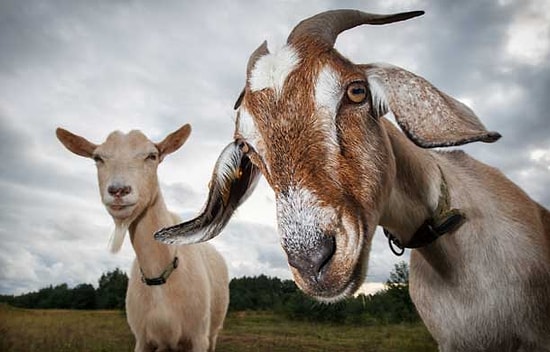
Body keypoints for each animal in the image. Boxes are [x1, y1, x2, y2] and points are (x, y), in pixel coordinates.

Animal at [56, 126, 229, 352]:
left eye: (152, 156)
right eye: (97, 158)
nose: (118, 190)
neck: (159, 275)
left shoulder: (198, 337)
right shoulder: (142, 339)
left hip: (213, 331)